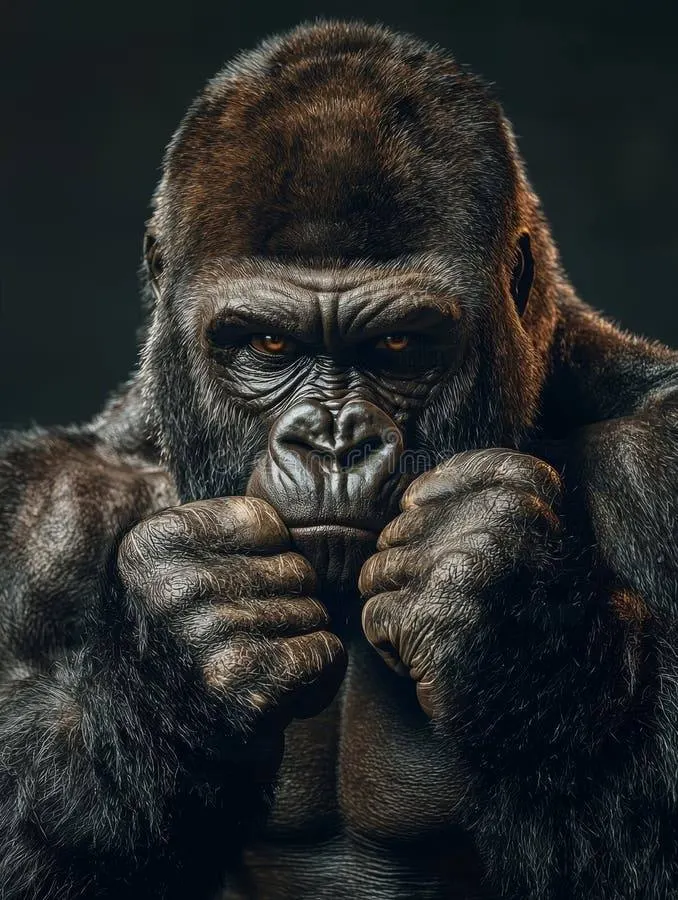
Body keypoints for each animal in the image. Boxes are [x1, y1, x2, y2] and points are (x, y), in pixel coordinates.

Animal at [1, 19, 677, 900]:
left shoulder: (658, 460)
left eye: (397, 344)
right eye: (267, 344)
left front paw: (521, 623)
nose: (332, 441)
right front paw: (174, 673)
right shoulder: (43, 518)